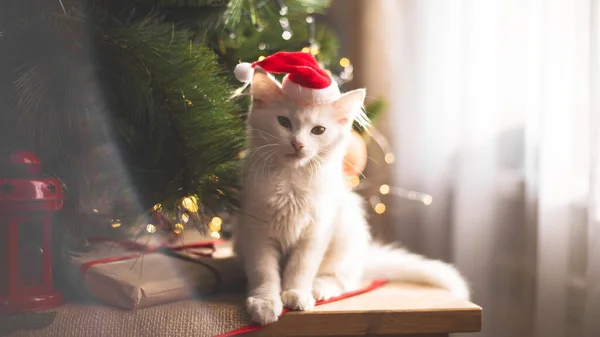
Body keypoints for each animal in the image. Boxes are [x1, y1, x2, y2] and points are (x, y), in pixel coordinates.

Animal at [232, 67, 472, 326]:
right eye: (284, 122)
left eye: (318, 130)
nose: (298, 144)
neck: (291, 181)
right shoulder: (256, 230)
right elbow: (264, 272)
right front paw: (265, 302)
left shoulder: (315, 232)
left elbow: (300, 268)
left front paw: (296, 293)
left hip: (347, 227)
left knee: (343, 280)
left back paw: (318, 288)